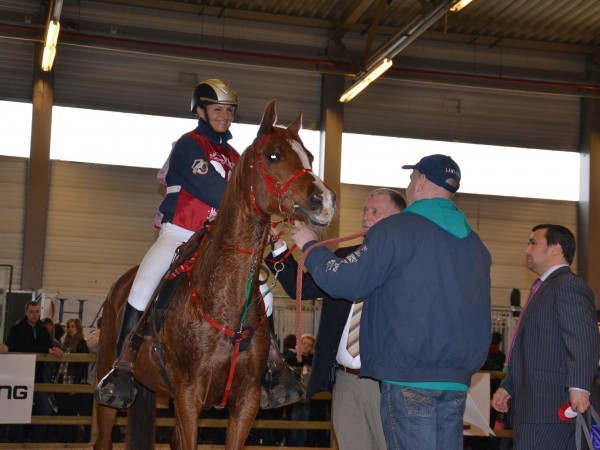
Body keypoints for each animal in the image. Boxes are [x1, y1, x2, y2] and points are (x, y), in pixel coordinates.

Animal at [95, 99, 338, 450]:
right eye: (273, 155)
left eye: (310, 156)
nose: (326, 200)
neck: (223, 299)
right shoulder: (188, 396)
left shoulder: (246, 400)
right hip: (109, 389)